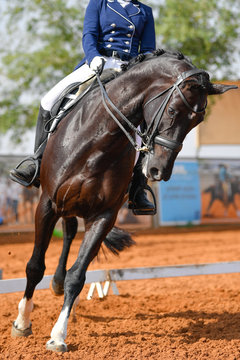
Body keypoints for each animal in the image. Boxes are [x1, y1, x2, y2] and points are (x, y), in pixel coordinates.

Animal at [10, 49, 236, 350]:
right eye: (172, 110)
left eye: (196, 122)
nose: (159, 171)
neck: (97, 139)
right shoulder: (47, 204)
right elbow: (34, 266)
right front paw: (22, 323)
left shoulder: (104, 215)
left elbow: (77, 276)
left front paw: (58, 335)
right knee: (66, 231)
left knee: (70, 234)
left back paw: (57, 283)